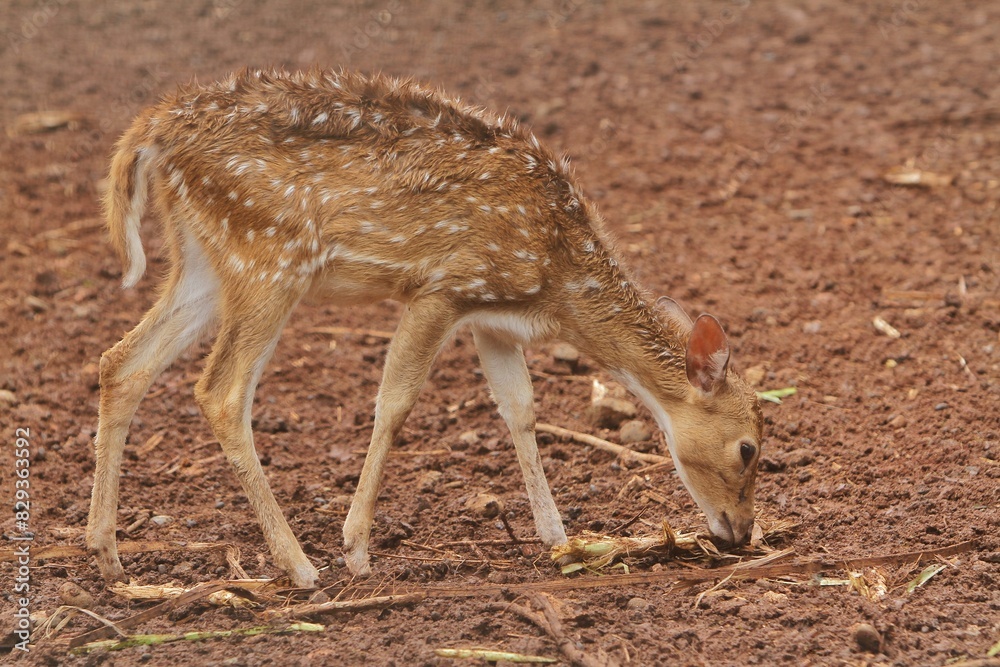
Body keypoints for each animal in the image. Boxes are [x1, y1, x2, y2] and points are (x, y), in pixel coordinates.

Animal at [87, 68, 763, 589]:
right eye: (749, 448)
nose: (741, 531)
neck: (559, 282)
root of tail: (151, 131)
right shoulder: (442, 287)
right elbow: (395, 402)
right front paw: (356, 549)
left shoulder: (492, 318)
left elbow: (520, 409)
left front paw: (557, 535)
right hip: (268, 258)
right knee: (220, 392)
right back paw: (300, 567)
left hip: (202, 260)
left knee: (121, 362)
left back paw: (108, 555)